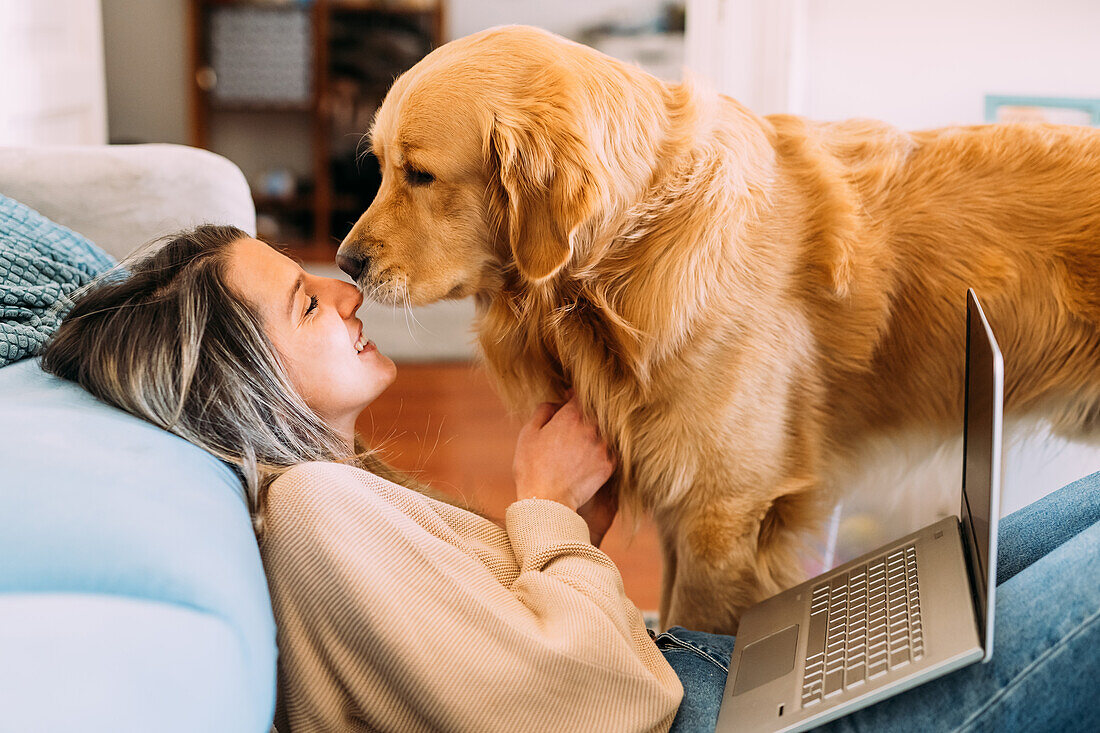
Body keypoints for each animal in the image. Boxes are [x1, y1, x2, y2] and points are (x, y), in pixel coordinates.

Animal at [334, 22, 1100, 629]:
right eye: (380, 166)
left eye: (420, 174)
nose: (343, 263)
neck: (625, 254)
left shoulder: (724, 512)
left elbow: (695, 620)